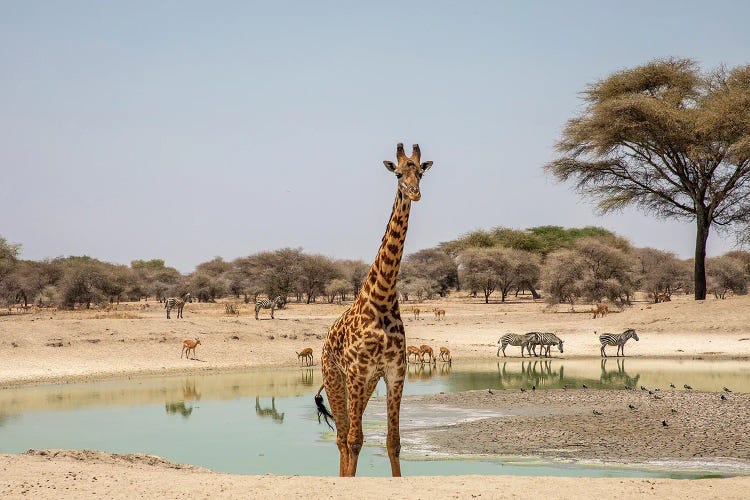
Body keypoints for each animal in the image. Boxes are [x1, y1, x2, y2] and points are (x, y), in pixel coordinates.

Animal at [316, 142, 434, 476]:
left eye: (421, 172)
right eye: (397, 173)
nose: (414, 192)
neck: (381, 298)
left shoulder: (394, 372)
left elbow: (394, 441)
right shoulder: (357, 372)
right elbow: (355, 439)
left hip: (365, 384)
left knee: (345, 434)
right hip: (336, 378)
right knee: (343, 436)